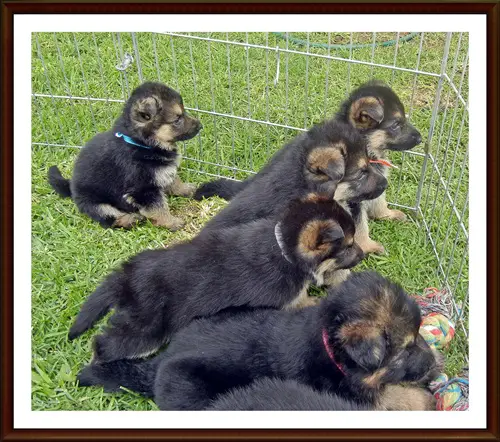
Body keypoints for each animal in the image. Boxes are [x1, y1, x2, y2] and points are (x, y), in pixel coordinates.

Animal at [47, 80, 202, 230]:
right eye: (177, 119)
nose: (200, 125)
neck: (141, 143)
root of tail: (71, 186)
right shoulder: (142, 189)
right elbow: (158, 208)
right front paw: (171, 222)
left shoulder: (163, 172)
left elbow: (174, 180)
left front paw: (186, 189)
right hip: (95, 203)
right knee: (109, 218)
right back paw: (130, 219)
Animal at [68, 196, 364, 362]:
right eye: (348, 245)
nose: (362, 254)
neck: (285, 249)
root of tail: (125, 277)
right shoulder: (287, 301)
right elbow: (307, 302)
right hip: (145, 331)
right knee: (107, 344)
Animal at [78, 272, 442, 412]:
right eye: (404, 350)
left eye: (419, 335)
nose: (436, 366)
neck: (327, 343)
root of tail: (158, 364)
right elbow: (392, 396)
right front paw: (422, 396)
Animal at [338, 80, 424, 254]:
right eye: (396, 125)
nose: (421, 139)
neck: (369, 152)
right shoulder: (353, 201)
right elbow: (360, 225)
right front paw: (367, 246)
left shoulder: (377, 184)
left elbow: (380, 201)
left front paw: (386, 215)